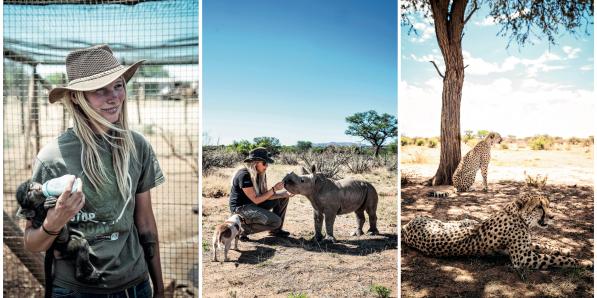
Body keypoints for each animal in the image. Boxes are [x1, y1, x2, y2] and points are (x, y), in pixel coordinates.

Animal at [400, 193, 592, 270]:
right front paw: (583, 262)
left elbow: (545, 247)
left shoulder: (527, 248)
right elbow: (557, 259)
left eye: (548, 205)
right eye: (539, 207)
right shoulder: (523, 259)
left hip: (460, 222)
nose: (552, 216)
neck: (518, 215)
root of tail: (406, 226)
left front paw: (566, 249)